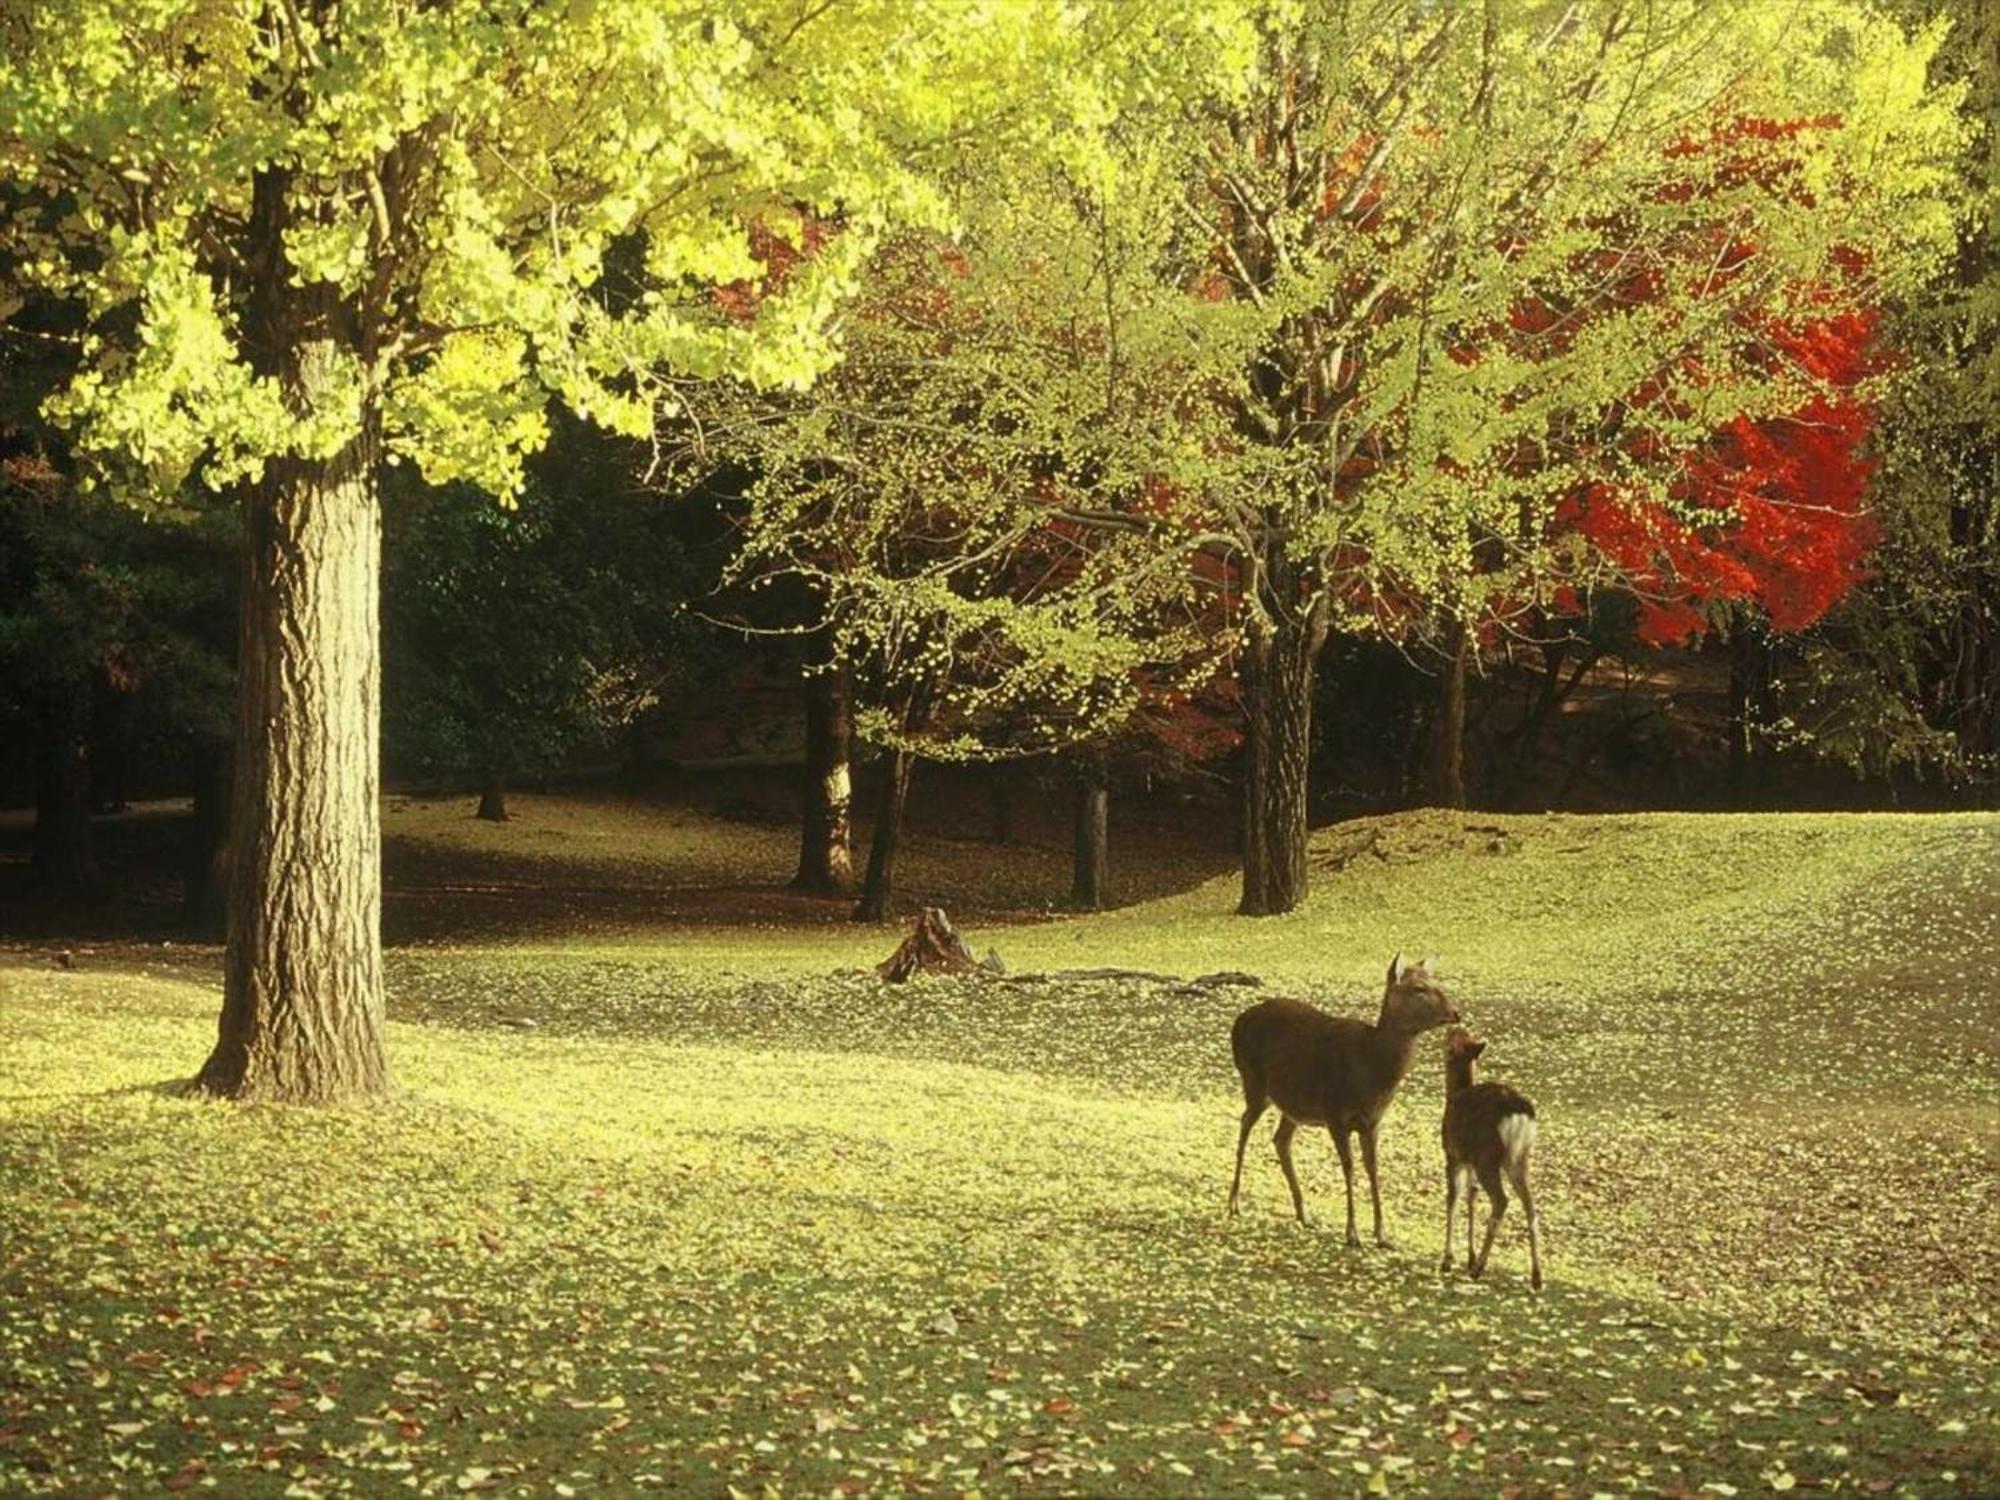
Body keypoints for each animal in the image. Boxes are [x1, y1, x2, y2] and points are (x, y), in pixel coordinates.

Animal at [1224, 956, 1464, 1248]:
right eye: (1418, 988)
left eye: (1436, 981)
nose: (1455, 1012)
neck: (1370, 1070)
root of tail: (1239, 1020)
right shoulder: (1335, 1114)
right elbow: (1349, 1168)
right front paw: (1352, 1234)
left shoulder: (1373, 1122)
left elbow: (1373, 1169)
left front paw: (1382, 1235)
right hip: (1253, 1081)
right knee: (1245, 1125)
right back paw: (1234, 1203)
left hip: (1293, 1103)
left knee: (1280, 1139)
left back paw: (1304, 1213)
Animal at [1440, 1032, 1544, 1296]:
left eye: (1452, 1040)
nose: (1450, 1028)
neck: (1455, 1093)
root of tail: (1519, 1114)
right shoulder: (1469, 1160)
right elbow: (1472, 1196)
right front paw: (1468, 1256)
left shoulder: (1453, 1154)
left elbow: (1453, 1199)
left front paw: (1448, 1259)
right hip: (1519, 1157)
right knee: (1530, 1206)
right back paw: (1536, 1277)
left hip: (1487, 1157)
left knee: (1501, 1200)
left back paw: (1479, 1268)